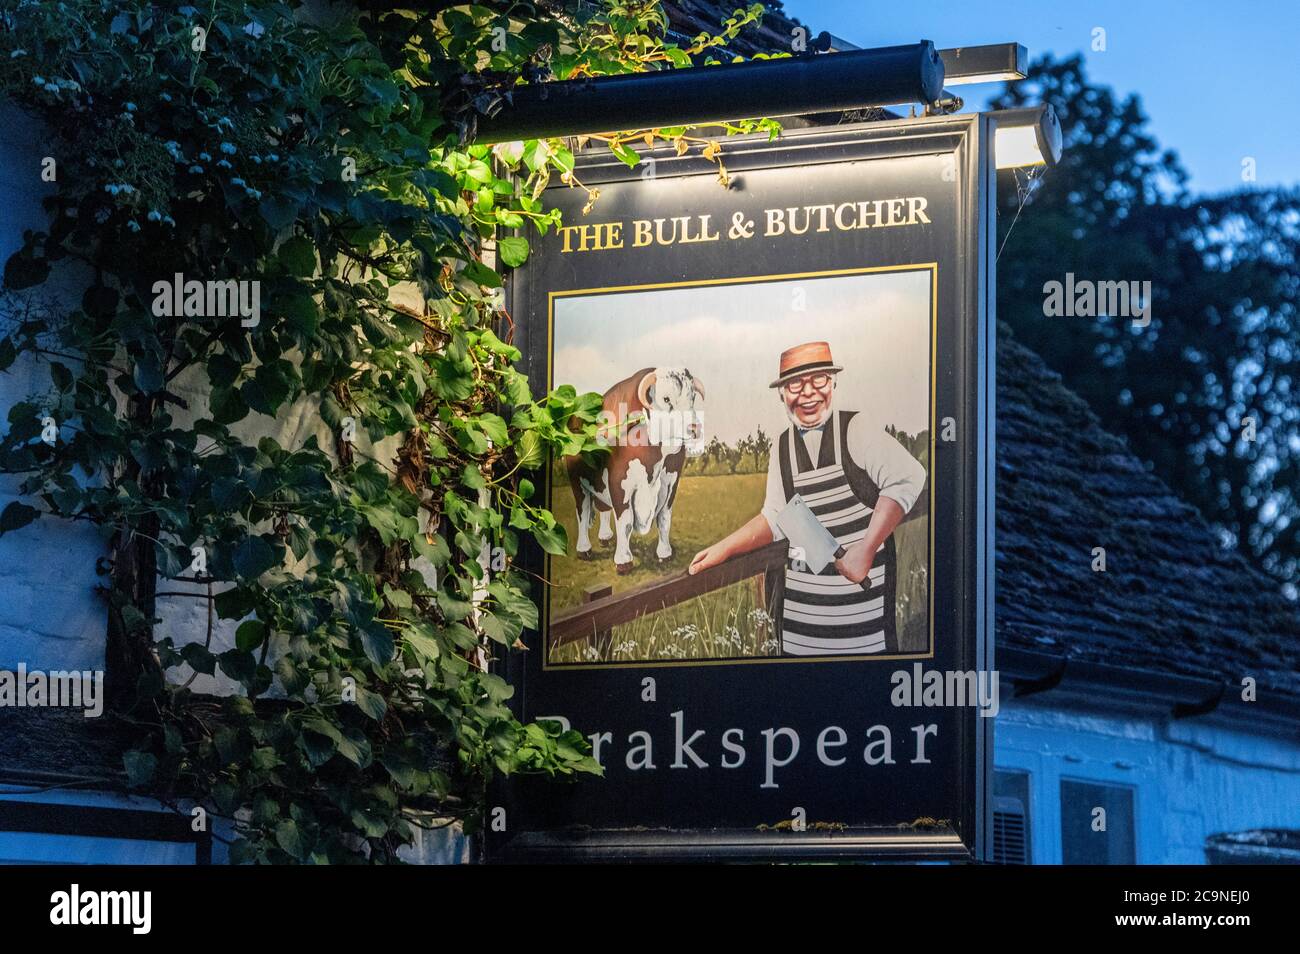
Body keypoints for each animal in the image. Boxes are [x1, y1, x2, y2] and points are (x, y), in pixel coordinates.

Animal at [566, 366, 707, 574]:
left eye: (693, 397)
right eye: (666, 398)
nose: (694, 428)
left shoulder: (670, 484)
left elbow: (664, 519)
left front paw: (664, 553)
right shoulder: (619, 485)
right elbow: (625, 522)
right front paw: (623, 561)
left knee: (603, 507)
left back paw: (605, 537)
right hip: (577, 483)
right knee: (582, 512)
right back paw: (584, 549)